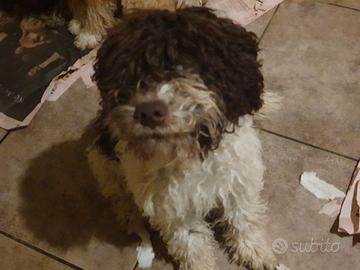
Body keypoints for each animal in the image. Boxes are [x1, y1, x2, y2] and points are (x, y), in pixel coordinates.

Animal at [86, 6, 276, 270]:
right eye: (127, 75)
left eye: (186, 66)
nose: (147, 112)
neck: (188, 152)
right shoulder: (173, 210)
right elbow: (190, 244)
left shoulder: (239, 179)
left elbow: (243, 217)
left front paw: (254, 250)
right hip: (103, 164)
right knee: (118, 196)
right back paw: (130, 217)